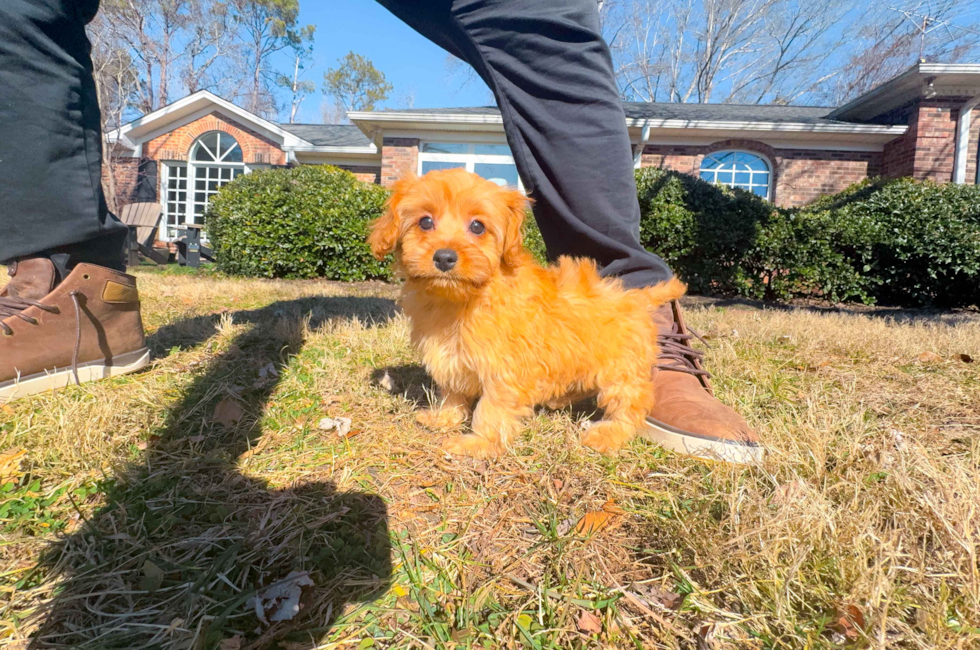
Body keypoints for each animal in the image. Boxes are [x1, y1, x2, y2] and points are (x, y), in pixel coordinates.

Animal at [372, 170, 684, 458]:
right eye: (425, 221)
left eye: (477, 226)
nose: (445, 257)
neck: (460, 299)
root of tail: (636, 296)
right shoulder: (451, 357)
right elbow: (453, 392)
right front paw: (444, 418)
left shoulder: (505, 368)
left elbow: (491, 408)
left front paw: (478, 443)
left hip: (622, 370)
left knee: (630, 404)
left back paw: (608, 434)